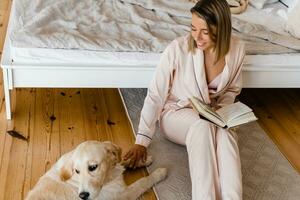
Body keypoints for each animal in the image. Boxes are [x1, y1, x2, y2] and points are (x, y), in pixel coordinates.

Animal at [25, 141, 166, 200]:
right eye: (77, 171)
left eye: (93, 167)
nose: (82, 196)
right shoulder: (122, 195)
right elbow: (142, 182)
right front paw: (159, 173)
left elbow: (122, 162)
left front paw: (143, 160)